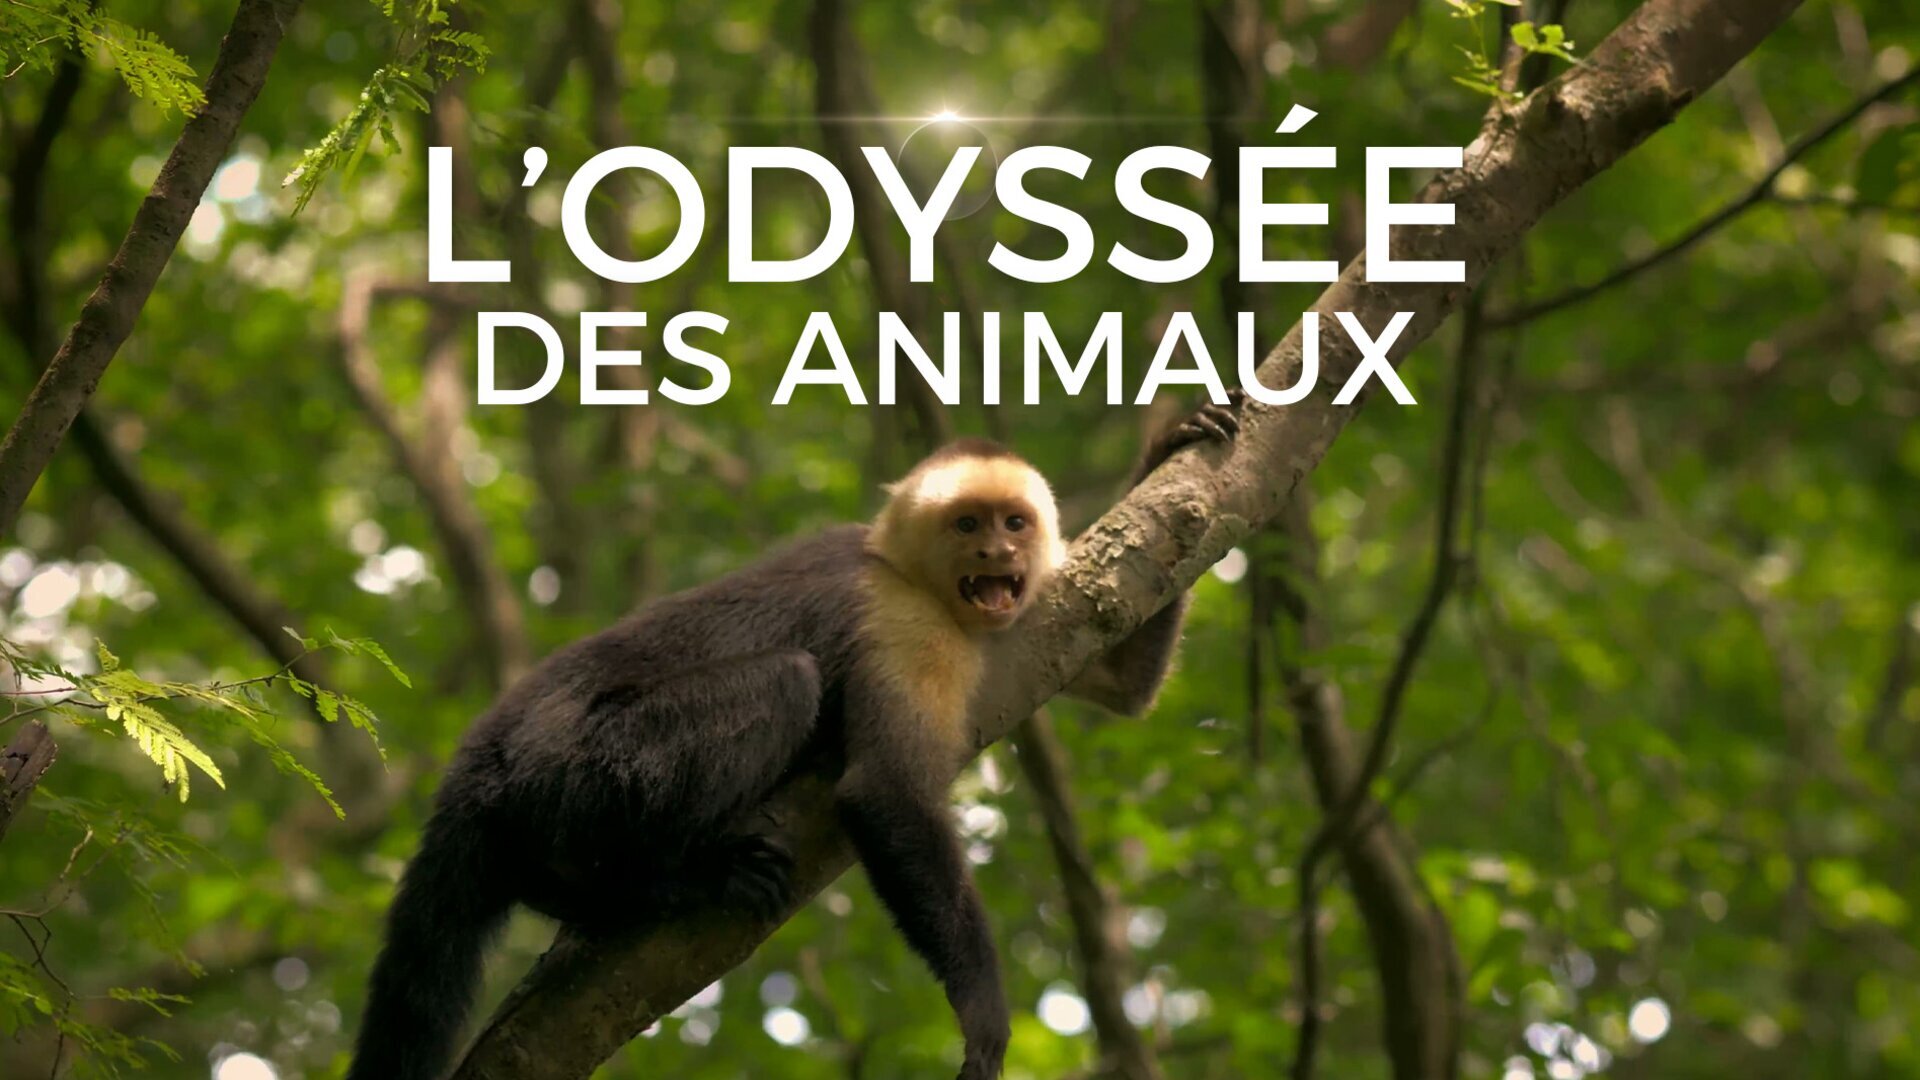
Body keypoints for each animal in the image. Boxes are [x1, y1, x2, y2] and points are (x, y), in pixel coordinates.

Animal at [344, 394, 1243, 1080]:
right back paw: (656, 882)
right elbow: (883, 793)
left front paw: (1167, 445)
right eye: (967, 525)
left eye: (1015, 523)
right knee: (784, 683)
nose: (996, 550)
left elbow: (1123, 682)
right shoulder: (904, 625)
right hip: (572, 760)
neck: (908, 575)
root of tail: (482, 752)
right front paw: (983, 1011)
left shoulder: (1030, 615)